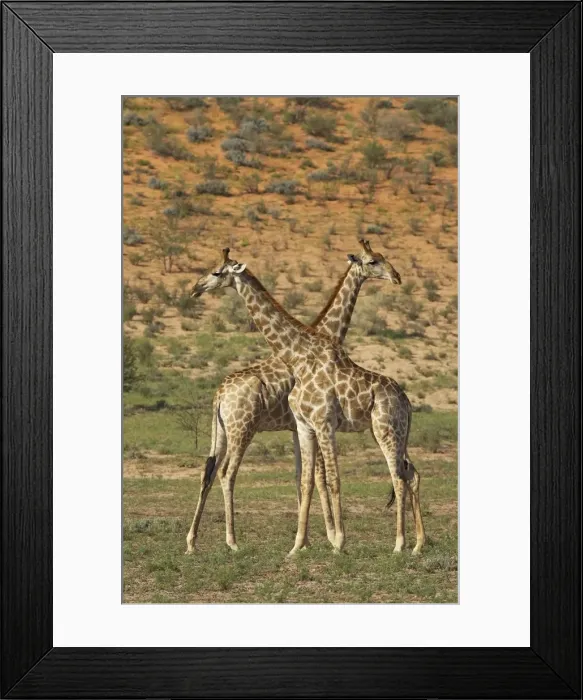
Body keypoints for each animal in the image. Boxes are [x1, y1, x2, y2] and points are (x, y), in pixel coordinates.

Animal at [190, 245, 425, 556]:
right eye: (374, 261)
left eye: (216, 272)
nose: (196, 288)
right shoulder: (306, 425)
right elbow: (313, 480)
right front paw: (314, 542)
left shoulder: (315, 424)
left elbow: (319, 479)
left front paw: (327, 541)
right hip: (240, 429)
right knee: (223, 474)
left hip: (385, 430)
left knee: (402, 475)